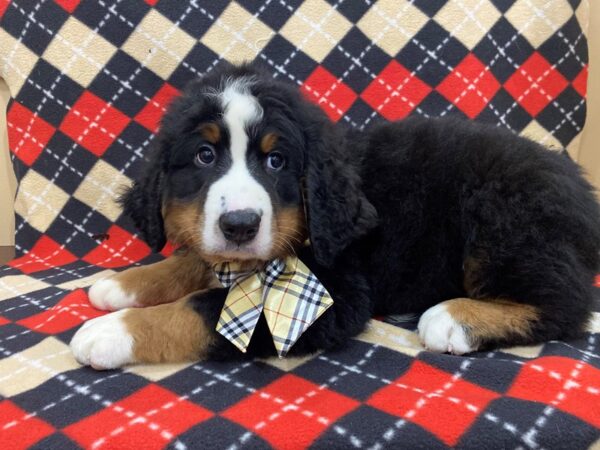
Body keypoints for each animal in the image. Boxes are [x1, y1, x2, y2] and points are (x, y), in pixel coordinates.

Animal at [71, 62, 600, 370]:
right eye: (204, 156)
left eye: (277, 161)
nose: (240, 226)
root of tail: (581, 191)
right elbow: (193, 262)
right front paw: (124, 285)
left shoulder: (336, 295)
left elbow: (201, 310)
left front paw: (111, 332)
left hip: (504, 220)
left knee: (568, 305)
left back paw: (453, 318)